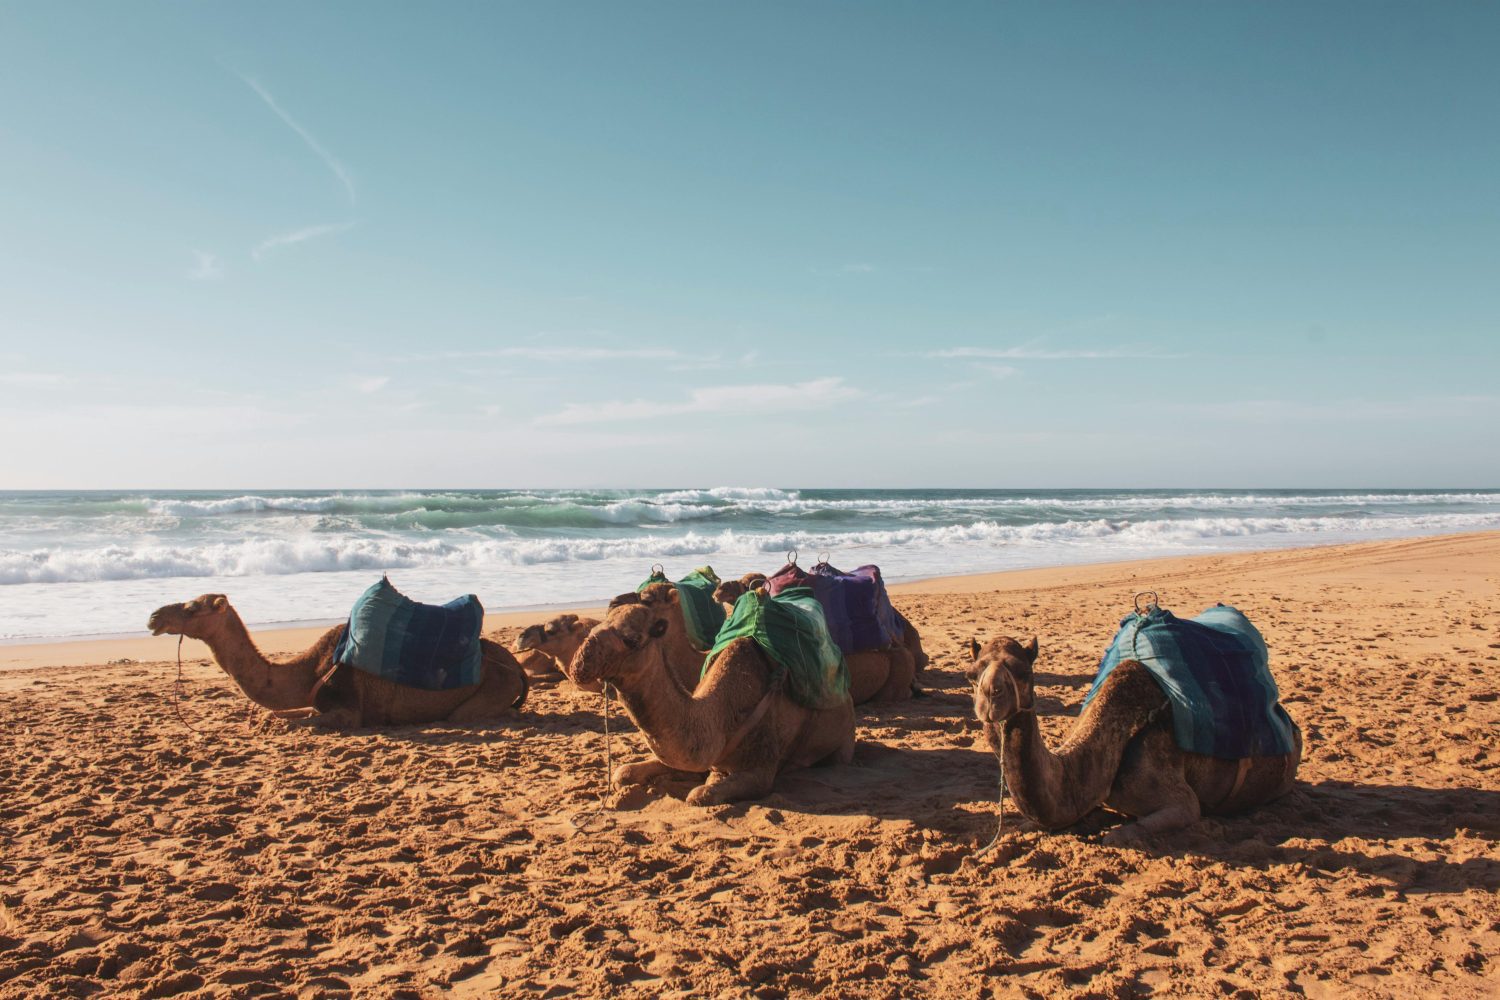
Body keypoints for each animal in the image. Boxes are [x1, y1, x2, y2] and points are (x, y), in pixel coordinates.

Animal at [147, 594, 528, 729]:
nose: (154, 617)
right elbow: (277, 715)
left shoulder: (348, 709)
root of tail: (515, 666)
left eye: (191, 607)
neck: (309, 670)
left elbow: (303, 723)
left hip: (490, 689)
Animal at [568, 583, 855, 805]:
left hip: (843, 741)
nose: (580, 664)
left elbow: (699, 795)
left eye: (632, 639)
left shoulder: (761, 769)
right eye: (597, 626)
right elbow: (623, 773)